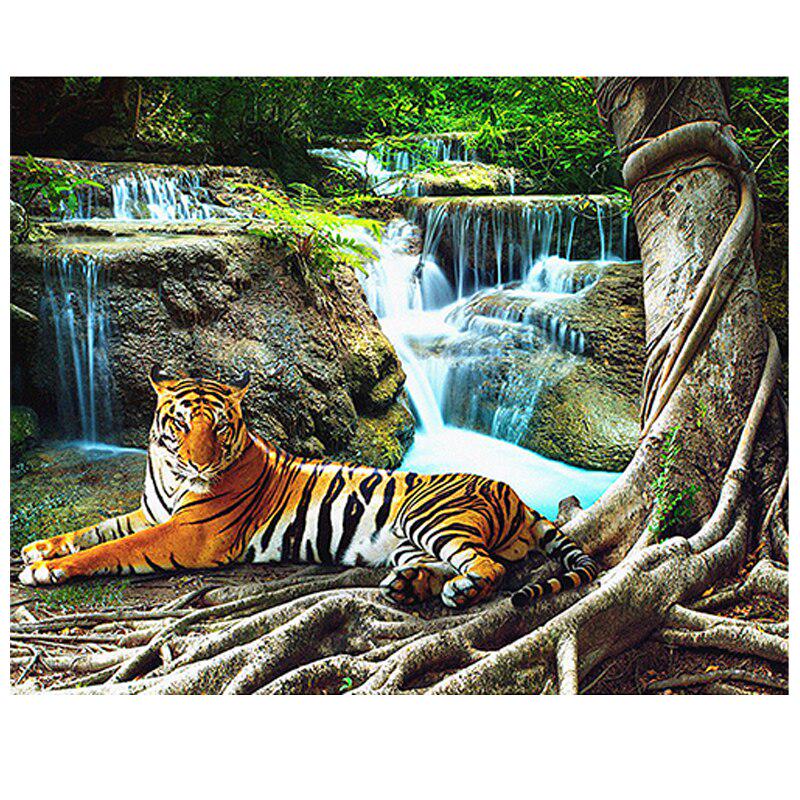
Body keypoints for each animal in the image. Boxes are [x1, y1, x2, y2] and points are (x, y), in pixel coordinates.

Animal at [19, 367, 598, 609]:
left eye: (219, 427)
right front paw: (39, 548)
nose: (199, 462)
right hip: (408, 542)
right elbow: (97, 529)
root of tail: (516, 495)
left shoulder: (187, 534)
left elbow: (114, 549)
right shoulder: (152, 513)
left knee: (489, 566)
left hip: (430, 518)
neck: (168, 474)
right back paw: (410, 588)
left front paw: (47, 570)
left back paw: (461, 591)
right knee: (447, 565)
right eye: (180, 424)